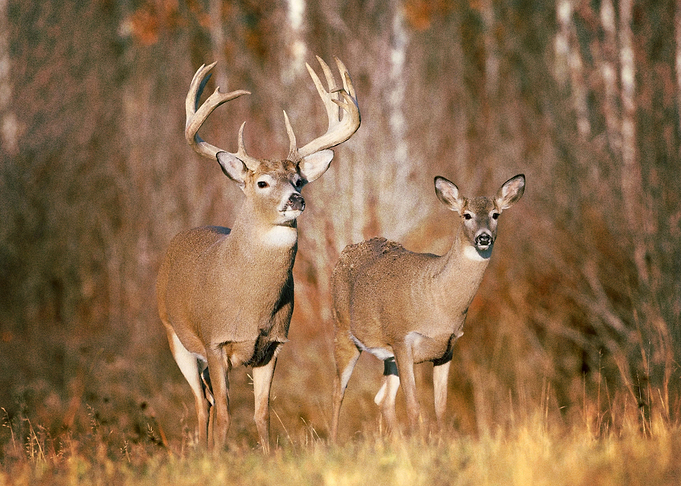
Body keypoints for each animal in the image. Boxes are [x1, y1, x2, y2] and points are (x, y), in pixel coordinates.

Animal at [156, 56, 360, 452]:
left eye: (299, 180)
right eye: (262, 183)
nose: (296, 200)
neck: (251, 306)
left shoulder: (273, 346)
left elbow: (261, 414)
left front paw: (266, 457)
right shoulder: (215, 341)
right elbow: (224, 413)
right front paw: (219, 457)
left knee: (205, 400)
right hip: (175, 336)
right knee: (202, 403)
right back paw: (200, 452)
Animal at [329, 174, 525, 441]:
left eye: (496, 214)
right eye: (466, 215)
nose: (484, 237)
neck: (438, 303)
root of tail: (344, 253)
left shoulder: (447, 349)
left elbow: (440, 406)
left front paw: (440, 442)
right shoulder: (402, 339)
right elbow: (414, 405)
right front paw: (420, 442)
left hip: (388, 357)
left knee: (383, 398)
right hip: (343, 330)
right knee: (338, 391)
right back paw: (332, 442)